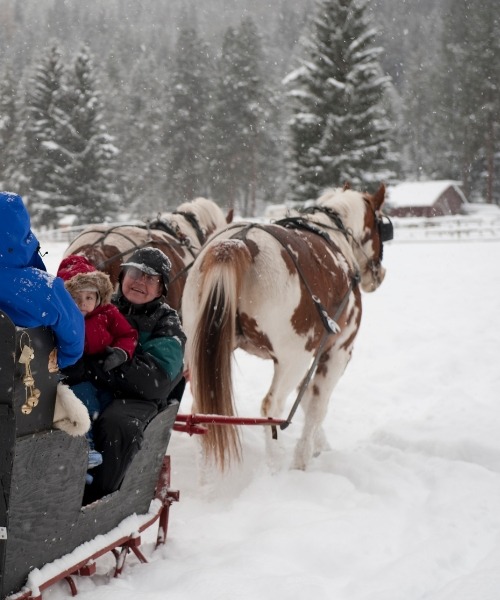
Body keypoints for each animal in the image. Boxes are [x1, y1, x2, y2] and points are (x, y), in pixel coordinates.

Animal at [182, 183, 392, 468]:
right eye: (381, 226)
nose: (379, 275)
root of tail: (237, 243)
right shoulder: (336, 351)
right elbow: (316, 406)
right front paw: (302, 458)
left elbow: (305, 399)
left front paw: (319, 444)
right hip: (294, 358)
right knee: (271, 407)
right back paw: (275, 465)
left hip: (199, 350)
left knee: (202, 409)